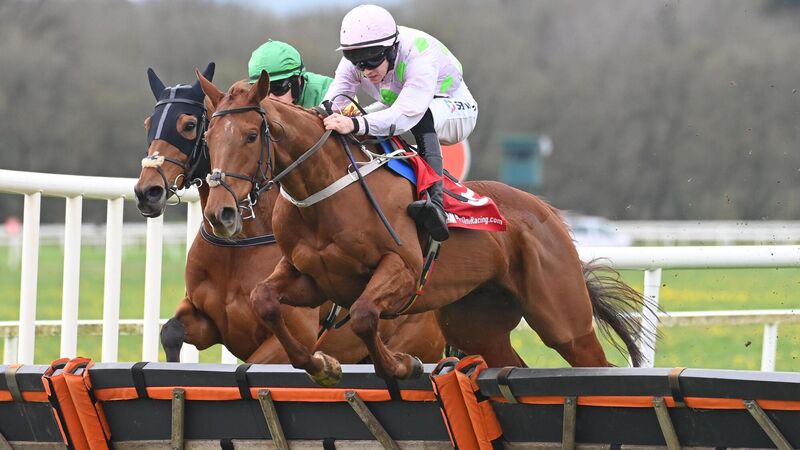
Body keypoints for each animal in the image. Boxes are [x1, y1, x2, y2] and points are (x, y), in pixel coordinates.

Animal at [133, 64, 445, 364]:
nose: (147, 192)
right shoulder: (206, 320)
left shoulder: (293, 335)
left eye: (189, 125)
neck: (239, 246)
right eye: (148, 123)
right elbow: (170, 331)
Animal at [198, 70, 647, 385]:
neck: (325, 193)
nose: (221, 213)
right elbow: (264, 300)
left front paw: (402, 364)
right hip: (475, 322)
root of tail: (548, 212)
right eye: (208, 136)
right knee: (507, 361)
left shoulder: (402, 269)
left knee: (593, 360)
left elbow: (364, 315)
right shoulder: (311, 279)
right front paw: (322, 364)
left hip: (563, 319)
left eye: (251, 135)